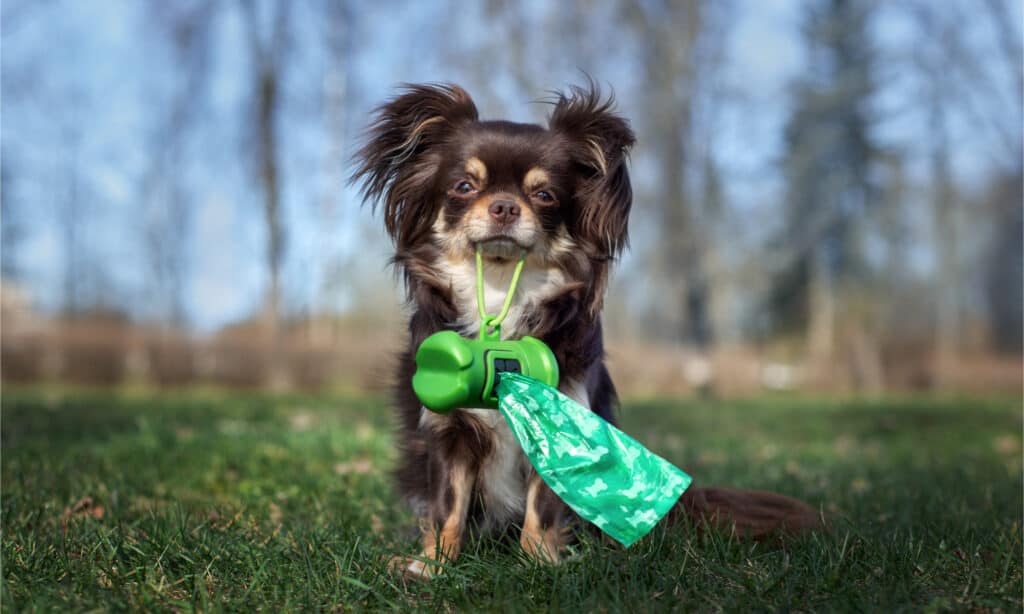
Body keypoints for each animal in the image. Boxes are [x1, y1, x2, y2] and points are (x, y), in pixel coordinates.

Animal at [352, 81, 815, 581]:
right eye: (464, 186)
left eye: (545, 195)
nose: (504, 206)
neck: (500, 290)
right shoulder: (449, 431)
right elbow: (447, 506)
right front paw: (432, 565)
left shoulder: (563, 419)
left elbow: (542, 506)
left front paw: (540, 561)